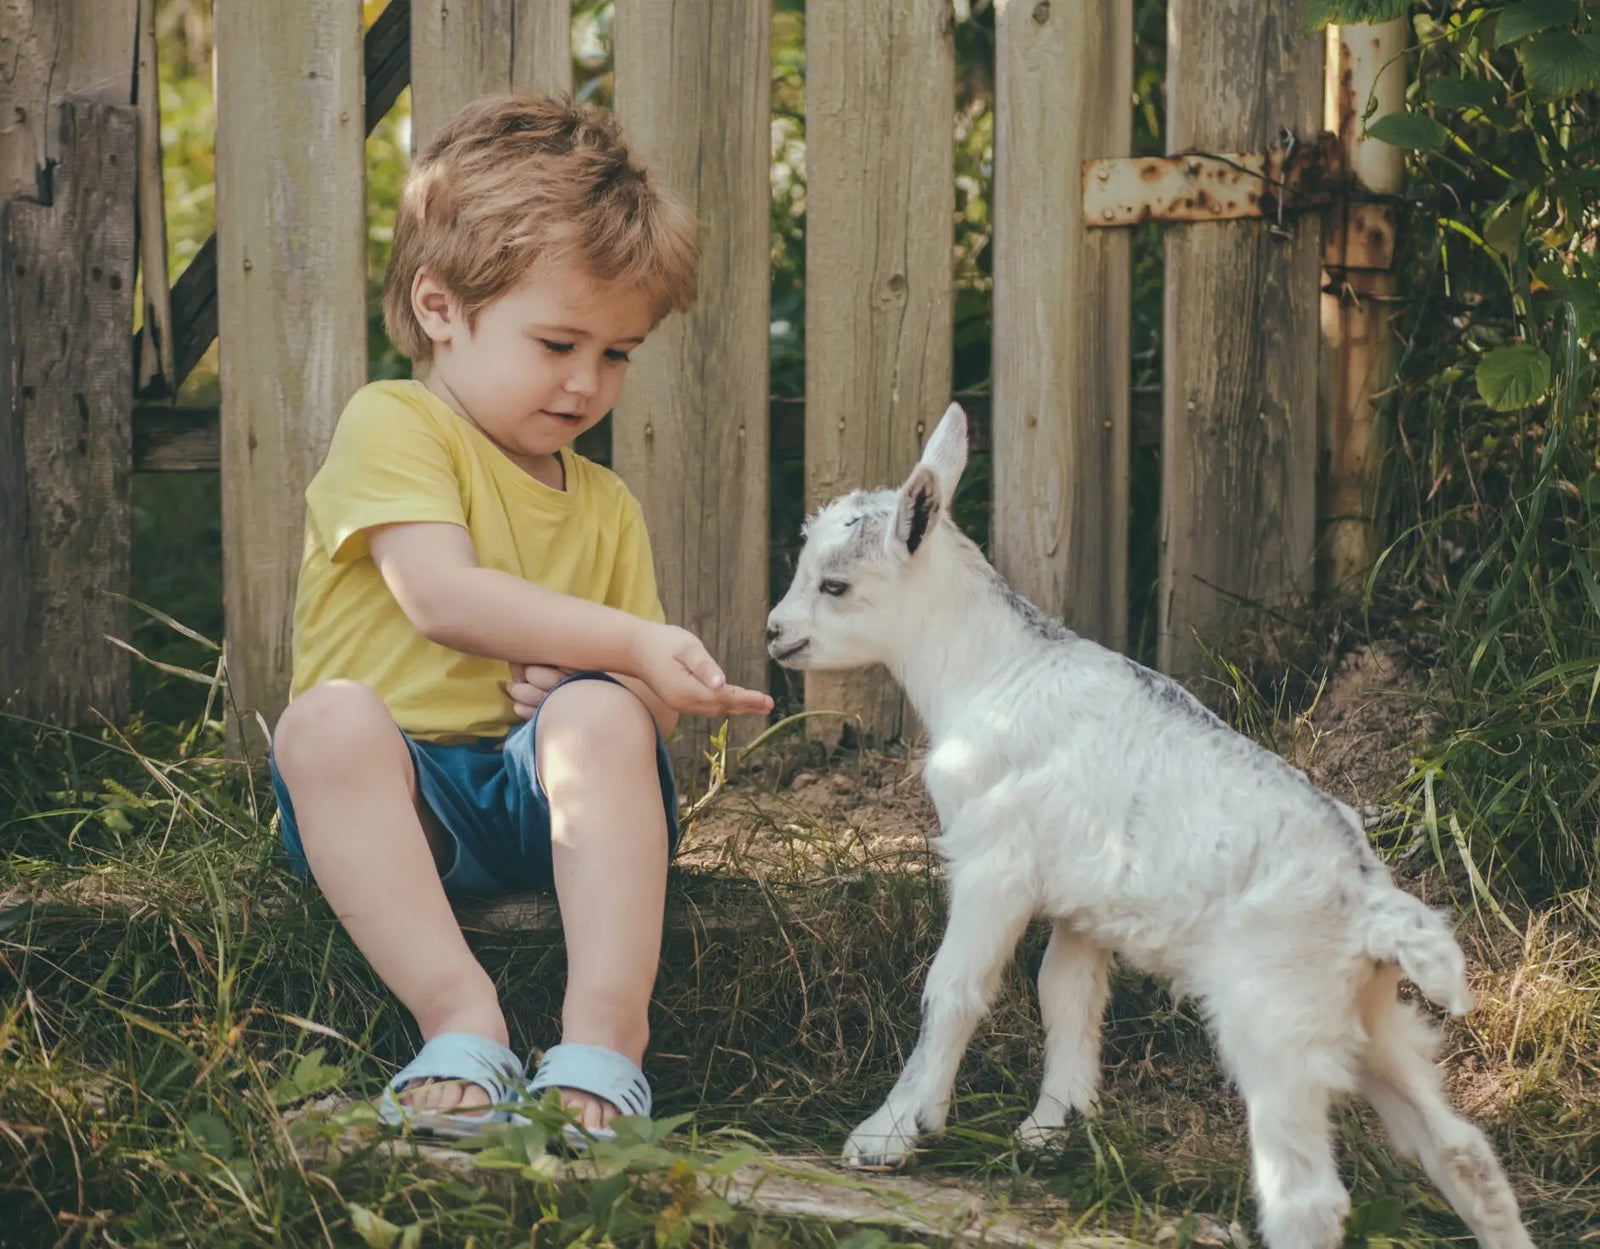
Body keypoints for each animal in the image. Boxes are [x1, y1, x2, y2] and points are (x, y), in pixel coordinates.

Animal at [765, 403, 1534, 1249]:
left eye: (836, 584)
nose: (774, 631)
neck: (991, 671)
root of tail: (1372, 905)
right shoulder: (1083, 898)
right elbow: (1066, 992)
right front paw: (1054, 1126)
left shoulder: (994, 861)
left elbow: (957, 986)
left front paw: (891, 1132)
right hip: (1367, 1019)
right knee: (1462, 1150)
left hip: (1275, 1023)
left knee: (1307, 1196)